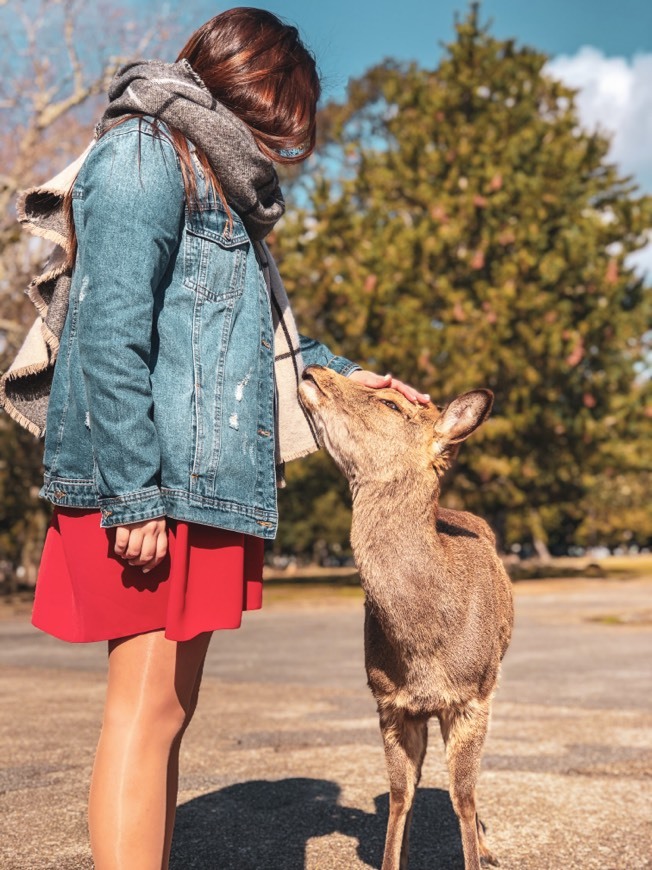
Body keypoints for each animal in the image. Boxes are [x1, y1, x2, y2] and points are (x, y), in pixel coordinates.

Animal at [296, 364, 516, 868]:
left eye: (391, 404)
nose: (312, 370)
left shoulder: (474, 696)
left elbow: (462, 795)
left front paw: (478, 855)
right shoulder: (389, 701)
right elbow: (400, 794)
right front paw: (394, 857)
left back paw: (488, 847)